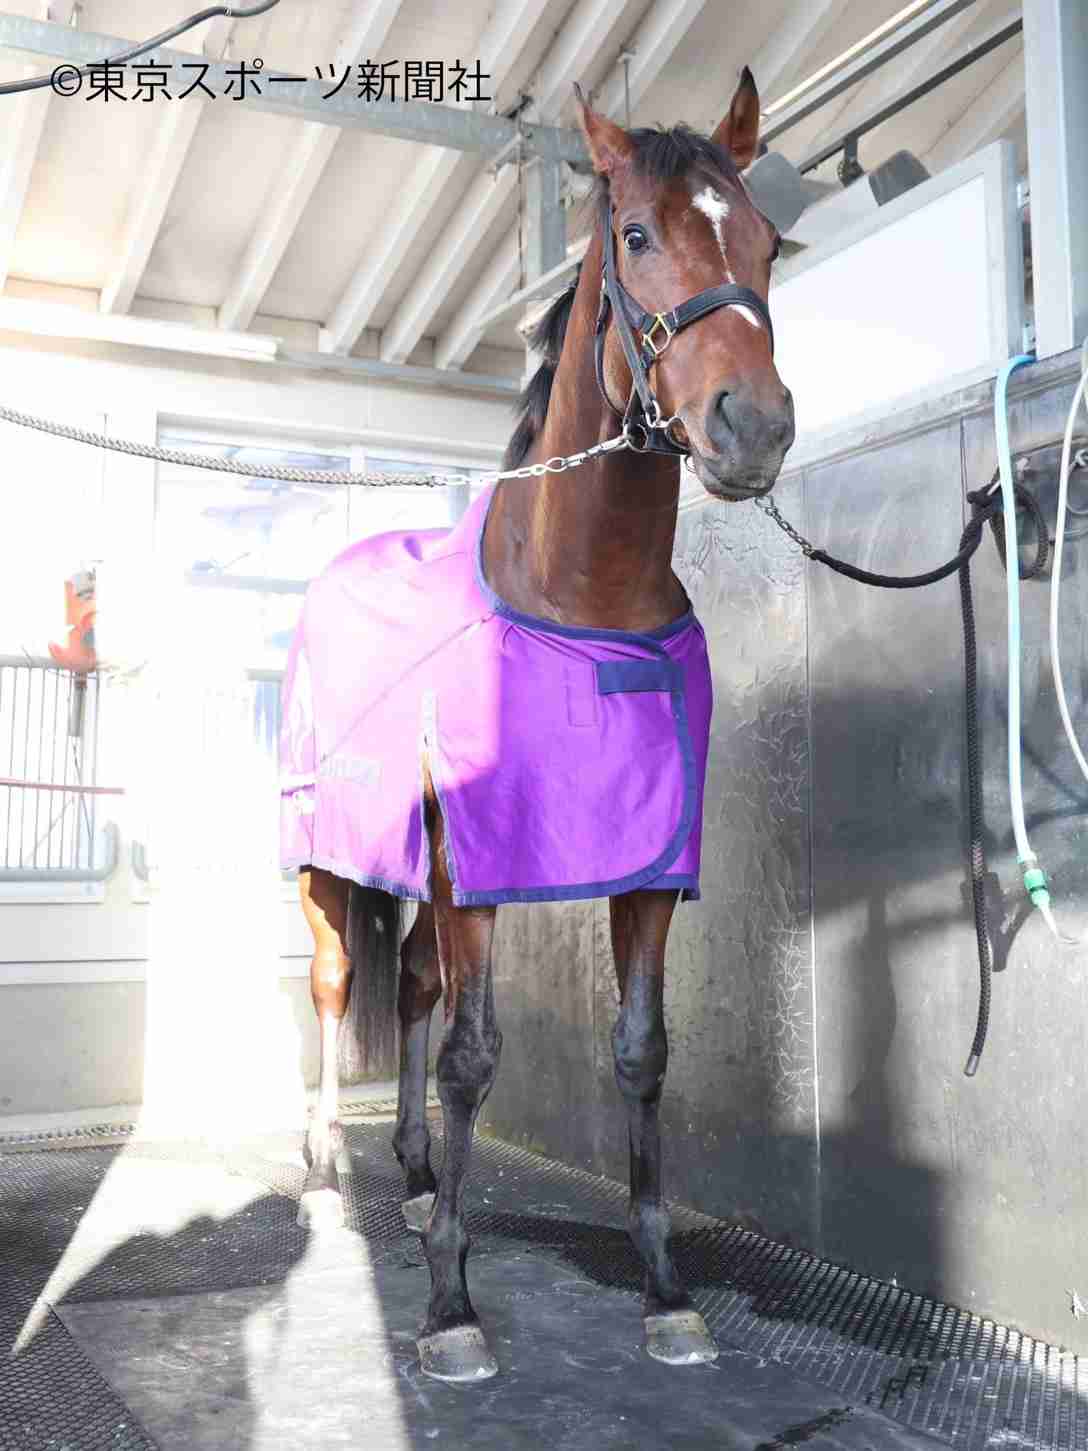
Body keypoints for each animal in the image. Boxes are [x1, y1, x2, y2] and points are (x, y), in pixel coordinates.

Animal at [280, 69, 795, 1384]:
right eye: (636, 235)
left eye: (768, 241)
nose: (753, 427)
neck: (581, 599)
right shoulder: (481, 863)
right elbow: (475, 1053)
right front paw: (449, 1307)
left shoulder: (643, 871)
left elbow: (640, 1051)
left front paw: (663, 1289)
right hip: (330, 857)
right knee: (337, 978)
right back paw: (326, 1160)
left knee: (408, 982)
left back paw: (416, 1174)